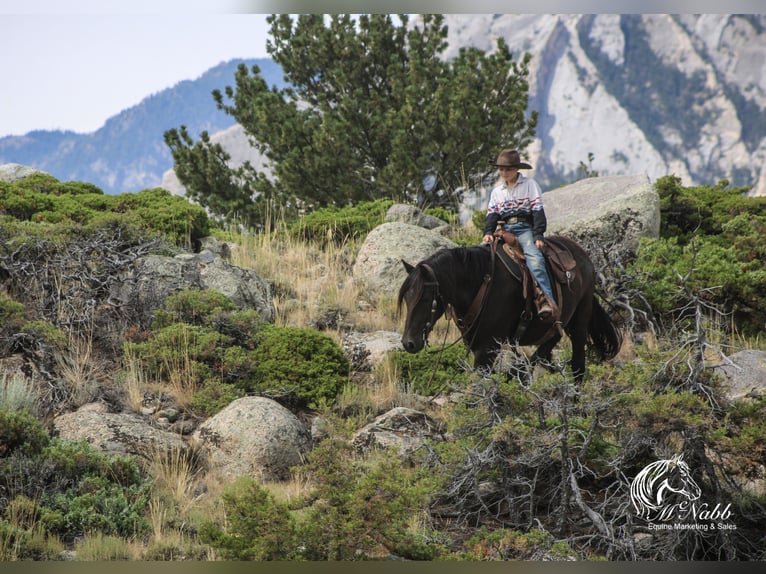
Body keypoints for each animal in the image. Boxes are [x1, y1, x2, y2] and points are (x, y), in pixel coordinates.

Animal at [400, 236, 628, 384]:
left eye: (426, 298)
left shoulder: (487, 349)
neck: (482, 282)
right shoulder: (476, 345)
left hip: (579, 321)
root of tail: (583, 256)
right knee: (548, 344)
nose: (409, 343)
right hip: (555, 324)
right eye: (407, 299)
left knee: (578, 366)